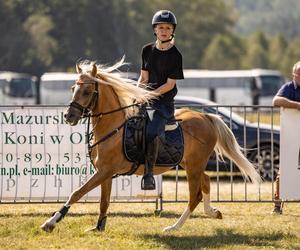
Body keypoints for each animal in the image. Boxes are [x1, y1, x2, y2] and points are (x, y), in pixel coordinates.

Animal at [41, 58, 262, 232]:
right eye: (73, 89)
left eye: (87, 91)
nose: (69, 116)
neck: (113, 127)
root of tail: (206, 117)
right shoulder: (105, 173)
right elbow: (104, 201)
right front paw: (99, 227)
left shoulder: (104, 171)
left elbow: (76, 193)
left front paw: (51, 222)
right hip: (189, 164)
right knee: (206, 181)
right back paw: (212, 212)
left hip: (194, 165)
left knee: (195, 196)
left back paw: (174, 227)